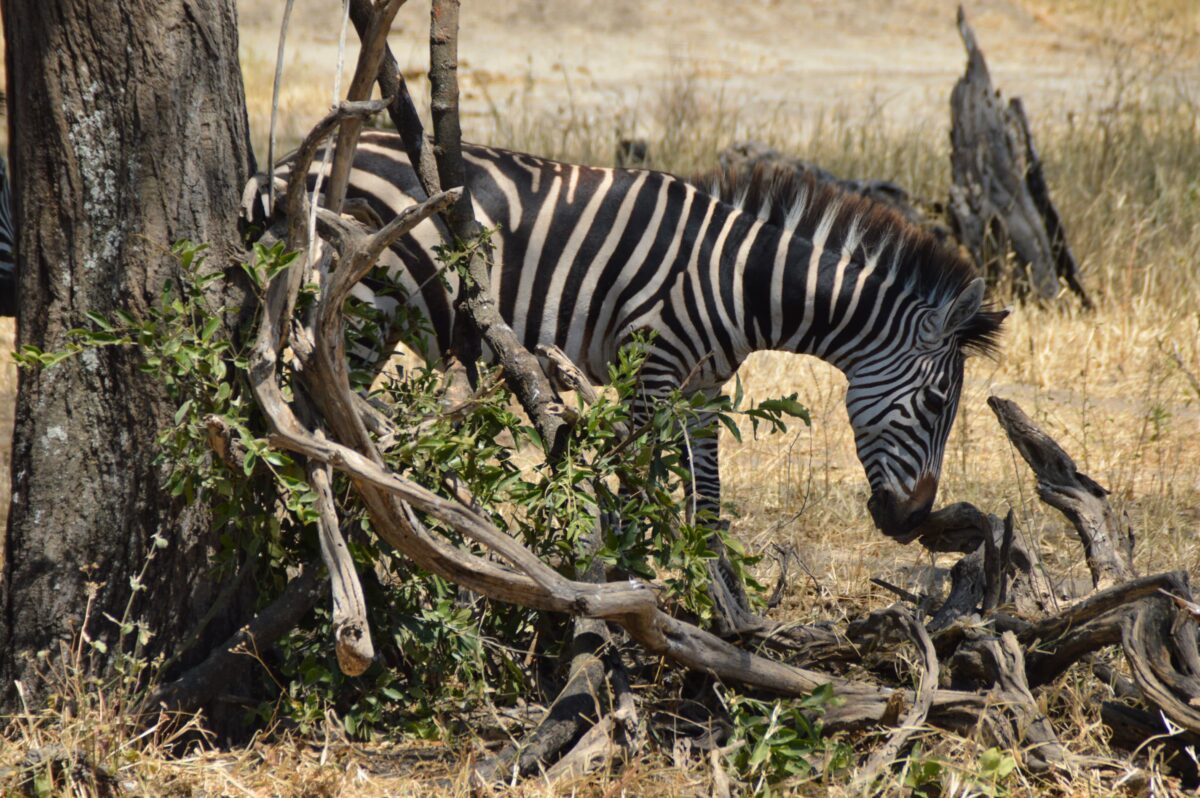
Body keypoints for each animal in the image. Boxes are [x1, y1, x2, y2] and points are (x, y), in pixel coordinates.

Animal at [279, 131, 1006, 622]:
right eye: (936, 402)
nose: (913, 521)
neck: (739, 281)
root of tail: (297, 158)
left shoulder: (702, 390)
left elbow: (707, 499)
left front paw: (728, 603)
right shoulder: (649, 369)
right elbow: (632, 487)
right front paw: (626, 588)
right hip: (360, 308)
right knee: (317, 411)